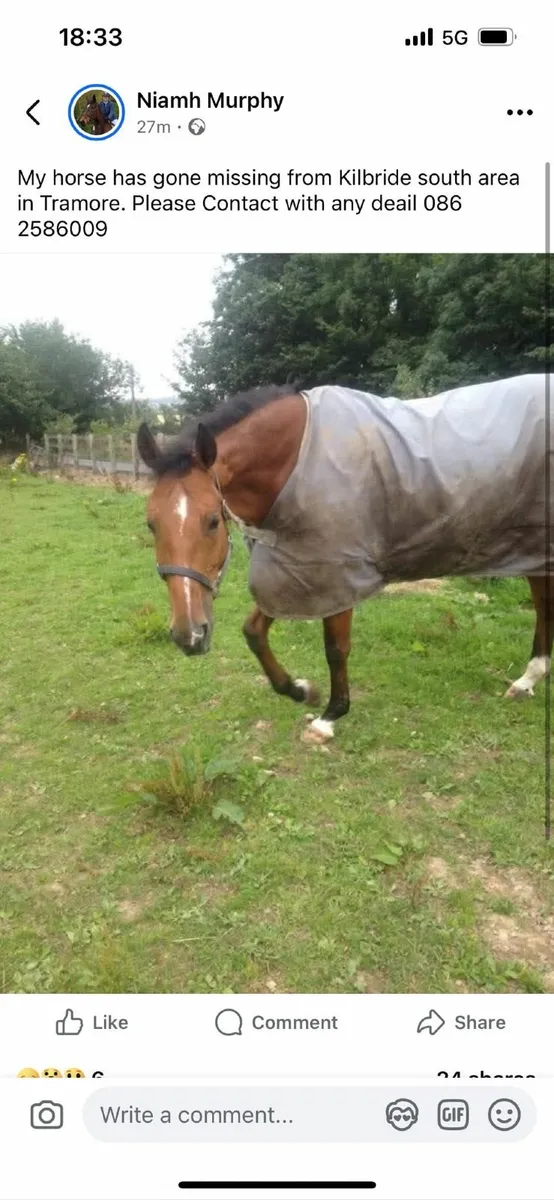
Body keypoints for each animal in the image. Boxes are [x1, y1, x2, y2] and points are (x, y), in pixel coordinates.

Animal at [137, 376, 553, 744]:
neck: (294, 460)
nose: (189, 636)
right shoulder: (293, 570)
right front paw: (301, 690)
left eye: (211, 521)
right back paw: (528, 681)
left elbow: (336, 649)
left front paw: (329, 717)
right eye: (151, 523)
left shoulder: (336, 572)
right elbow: (254, 632)